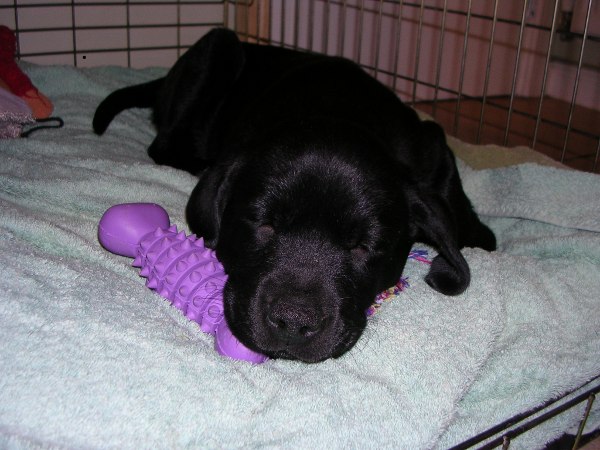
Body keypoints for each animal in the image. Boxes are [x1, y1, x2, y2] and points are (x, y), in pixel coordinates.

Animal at [95, 28, 496, 364]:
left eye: (363, 246)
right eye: (264, 224)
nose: (293, 322)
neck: (339, 110)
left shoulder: (432, 142)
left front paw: (475, 234)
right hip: (218, 47)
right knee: (163, 144)